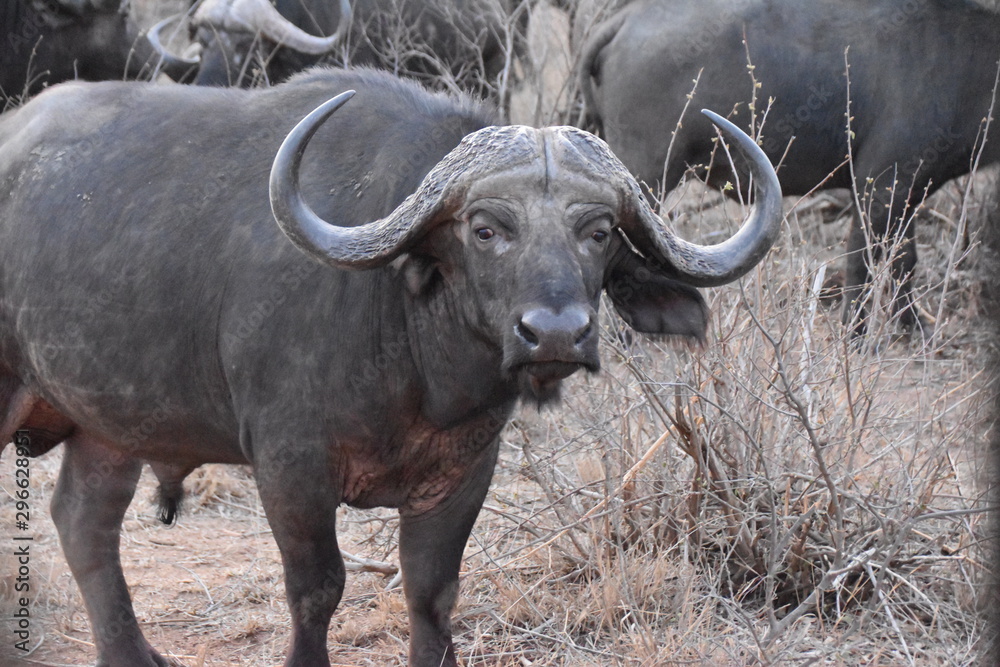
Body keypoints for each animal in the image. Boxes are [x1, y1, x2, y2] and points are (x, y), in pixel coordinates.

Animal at [0, 67, 780, 666]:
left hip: (107, 427)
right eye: (485, 229)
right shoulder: (289, 467)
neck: (415, 369)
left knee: (83, 523)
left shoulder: (464, 471)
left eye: (600, 231)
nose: (555, 333)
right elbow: (317, 589)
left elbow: (432, 592)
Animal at [580, 0, 1000, 333]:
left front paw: (912, 328)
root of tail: (628, 17)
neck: (972, 63)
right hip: (645, 177)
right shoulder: (880, 184)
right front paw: (856, 335)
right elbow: (862, 262)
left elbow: (904, 261)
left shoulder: (909, 192)